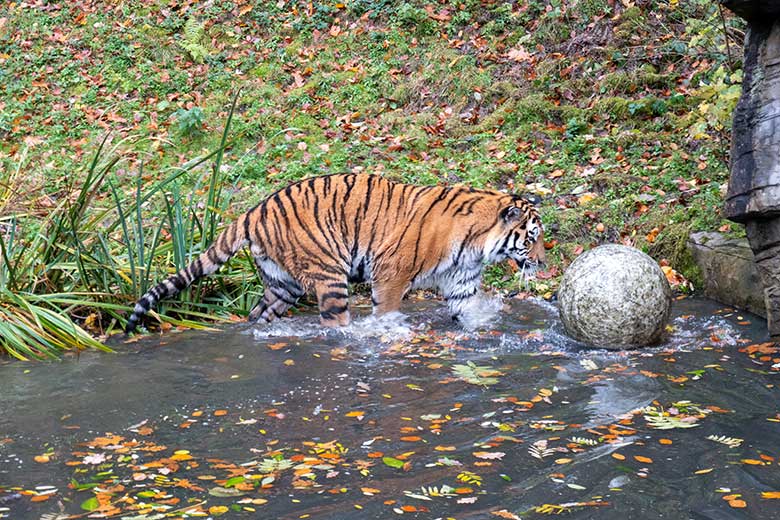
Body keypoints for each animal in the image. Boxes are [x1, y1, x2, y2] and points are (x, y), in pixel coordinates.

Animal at [125, 173, 544, 332]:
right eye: (532, 236)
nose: (542, 262)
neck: (477, 245)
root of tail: (253, 210)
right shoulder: (391, 275)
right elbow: (386, 312)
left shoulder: (461, 283)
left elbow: (470, 312)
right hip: (329, 275)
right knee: (333, 321)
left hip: (282, 285)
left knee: (258, 316)